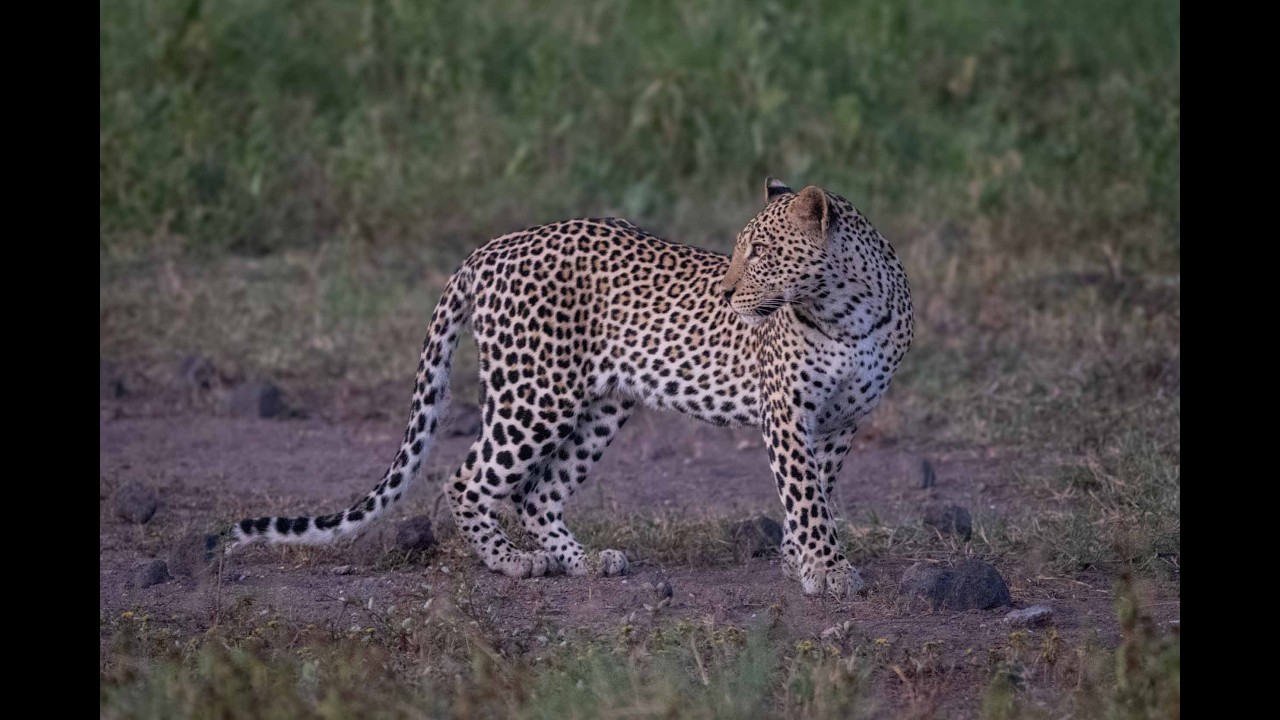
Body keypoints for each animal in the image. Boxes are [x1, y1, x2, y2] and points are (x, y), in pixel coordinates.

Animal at [229, 177, 913, 597]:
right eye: (739, 250)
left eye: (763, 252)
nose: (723, 292)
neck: (845, 310)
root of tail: (492, 247)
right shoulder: (788, 413)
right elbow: (805, 496)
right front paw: (827, 571)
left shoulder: (840, 424)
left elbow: (818, 494)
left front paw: (802, 560)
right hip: (536, 394)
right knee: (468, 479)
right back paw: (514, 562)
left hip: (600, 405)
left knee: (537, 495)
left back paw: (584, 561)